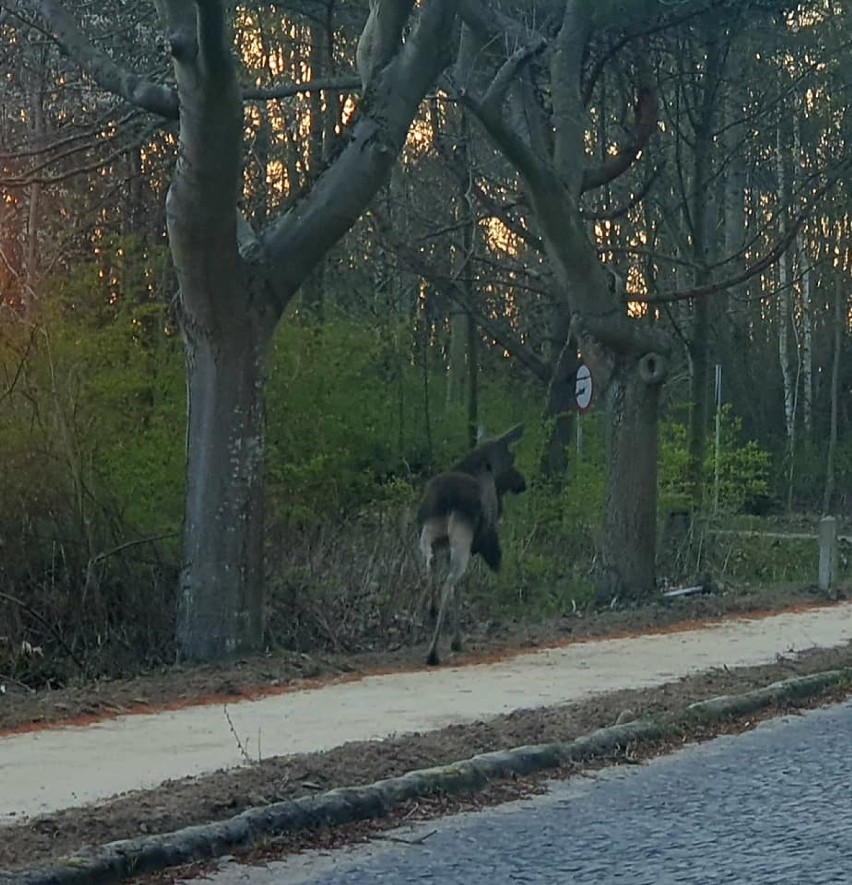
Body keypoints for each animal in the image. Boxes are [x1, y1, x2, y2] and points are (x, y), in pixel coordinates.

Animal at [414, 424, 524, 668]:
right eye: (512, 458)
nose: (523, 482)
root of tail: (445, 500)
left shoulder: (444, 547)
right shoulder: (484, 540)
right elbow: (459, 589)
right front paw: (457, 640)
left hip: (428, 536)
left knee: (430, 567)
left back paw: (430, 610)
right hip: (460, 541)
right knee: (448, 583)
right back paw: (433, 652)